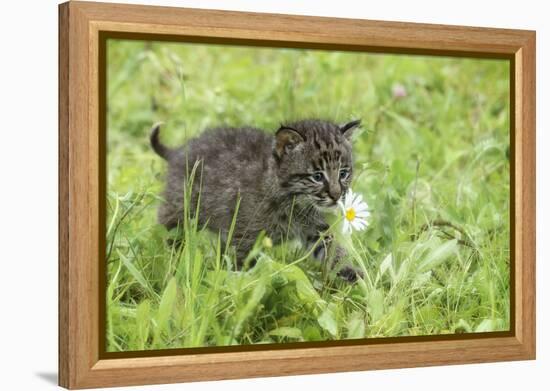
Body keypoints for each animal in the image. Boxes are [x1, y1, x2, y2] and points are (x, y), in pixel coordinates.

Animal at [153, 118, 364, 282]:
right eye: (317, 176)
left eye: (343, 173)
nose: (336, 195)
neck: (294, 203)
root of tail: (179, 151)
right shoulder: (243, 236)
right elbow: (240, 266)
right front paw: (239, 287)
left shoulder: (317, 229)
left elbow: (334, 249)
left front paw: (351, 272)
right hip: (180, 208)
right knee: (168, 227)